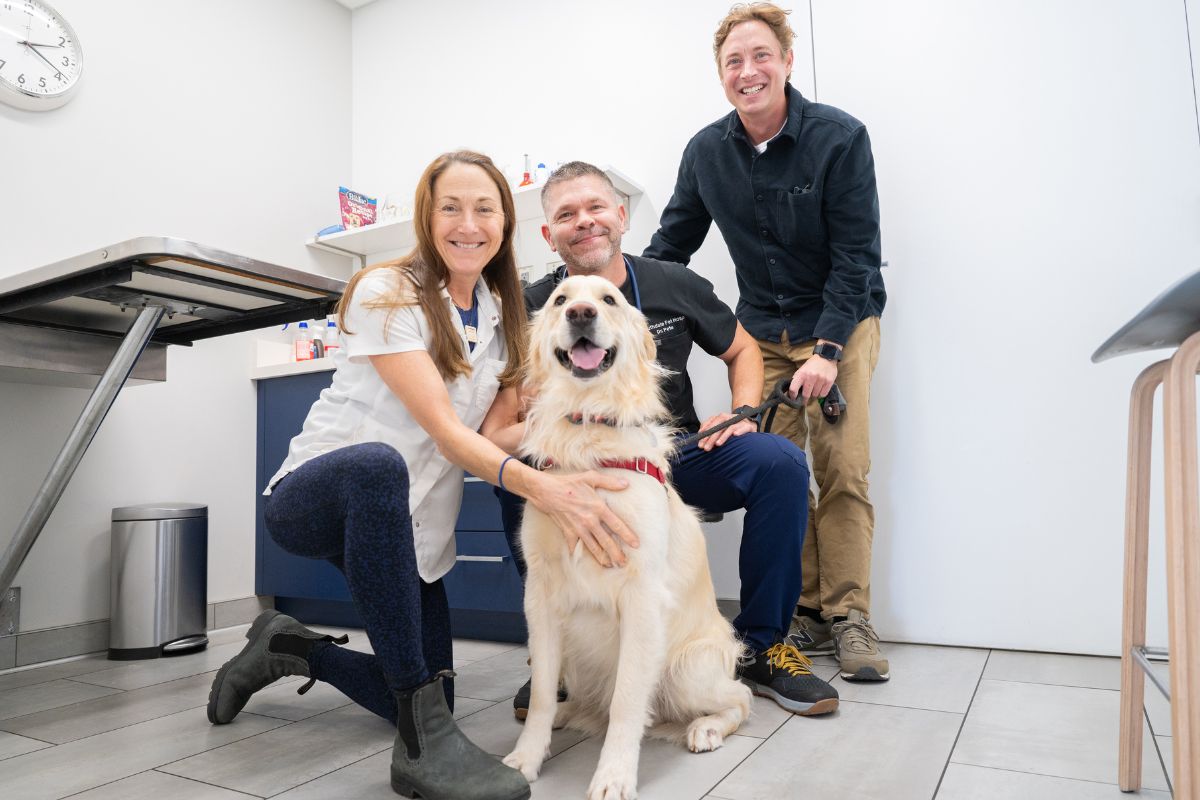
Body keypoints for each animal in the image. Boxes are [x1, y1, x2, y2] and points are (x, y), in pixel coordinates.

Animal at [504, 277, 748, 800]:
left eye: (609, 300)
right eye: (559, 300)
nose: (580, 313)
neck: (587, 431)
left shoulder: (640, 598)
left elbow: (627, 702)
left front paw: (613, 775)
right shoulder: (540, 596)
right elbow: (541, 696)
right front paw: (526, 759)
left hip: (686, 669)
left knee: (739, 698)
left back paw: (705, 728)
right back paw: (569, 714)